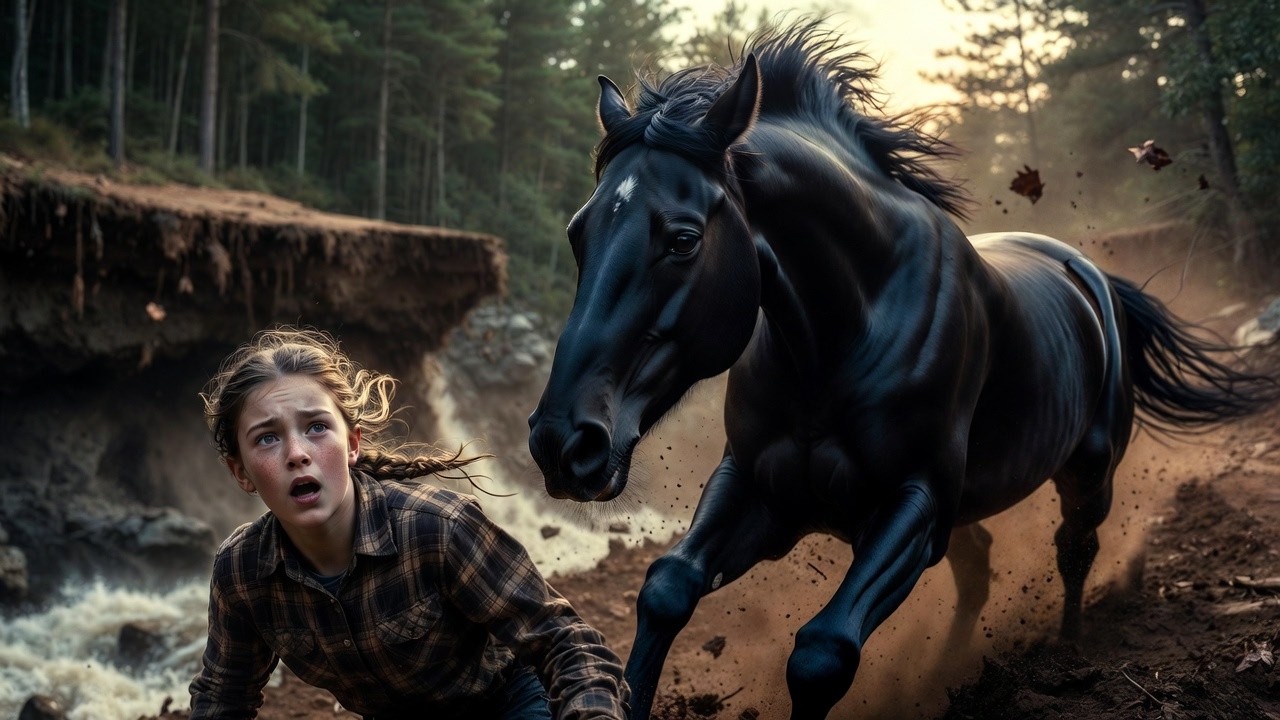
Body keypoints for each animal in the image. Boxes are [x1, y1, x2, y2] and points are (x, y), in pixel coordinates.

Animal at [526, 23, 1279, 720]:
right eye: (578, 232)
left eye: (682, 239)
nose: (563, 443)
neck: (840, 336)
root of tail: (1087, 274)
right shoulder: (759, 487)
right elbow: (667, 588)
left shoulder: (911, 507)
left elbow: (822, 654)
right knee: (980, 572)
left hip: (1087, 471)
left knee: (1075, 548)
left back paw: (1065, 656)